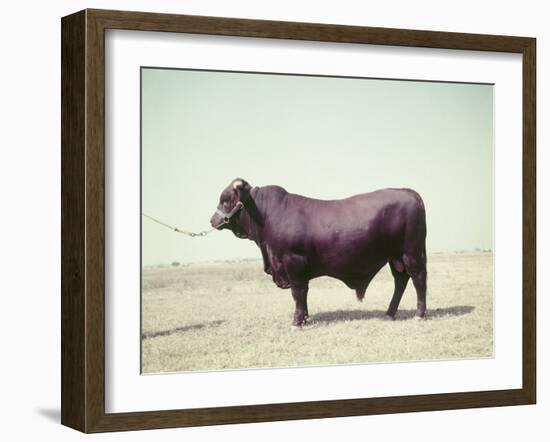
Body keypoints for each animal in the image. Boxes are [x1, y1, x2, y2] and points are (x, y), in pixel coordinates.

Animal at [212, 178, 432, 326]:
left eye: (225, 200)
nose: (212, 220)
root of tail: (410, 193)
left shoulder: (293, 262)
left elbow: (298, 292)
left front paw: (297, 321)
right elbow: (303, 293)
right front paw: (305, 317)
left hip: (411, 253)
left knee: (418, 279)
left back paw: (419, 314)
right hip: (395, 257)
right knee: (400, 281)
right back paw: (389, 313)